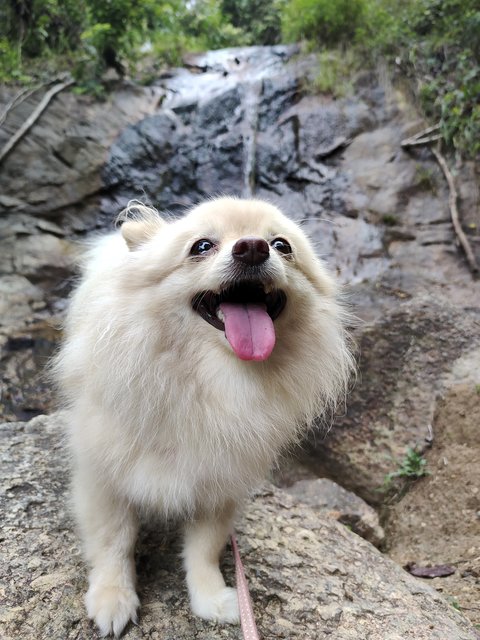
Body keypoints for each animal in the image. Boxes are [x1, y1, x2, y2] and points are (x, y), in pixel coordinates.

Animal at [54, 198, 354, 636]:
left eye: (282, 245)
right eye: (202, 246)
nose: (252, 248)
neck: (214, 382)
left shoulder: (219, 481)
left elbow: (204, 548)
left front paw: (211, 599)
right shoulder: (104, 475)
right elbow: (114, 541)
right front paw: (113, 597)